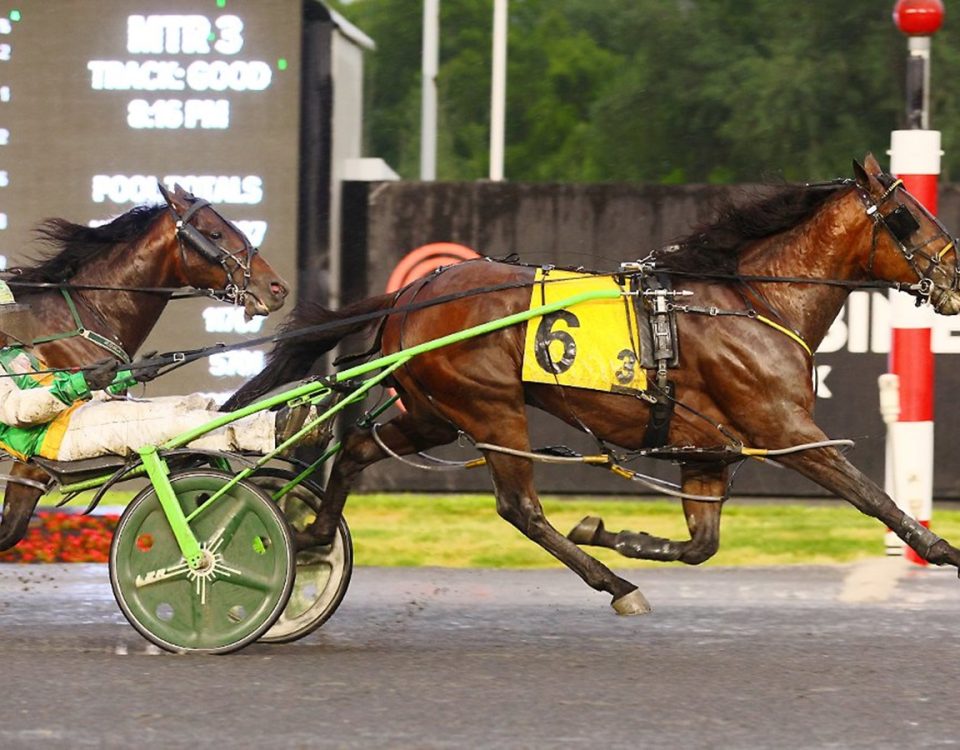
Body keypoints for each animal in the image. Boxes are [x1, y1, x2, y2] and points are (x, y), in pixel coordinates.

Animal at [231, 154, 960, 616]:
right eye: (910, 216)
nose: (954, 279)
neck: (751, 301)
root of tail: (412, 292)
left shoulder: (707, 446)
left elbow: (702, 543)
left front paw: (619, 534)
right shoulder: (783, 429)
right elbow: (869, 493)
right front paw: (939, 548)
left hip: (435, 409)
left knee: (357, 448)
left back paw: (314, 534)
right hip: (491, 406)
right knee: (519, 508)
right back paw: (614, 585)